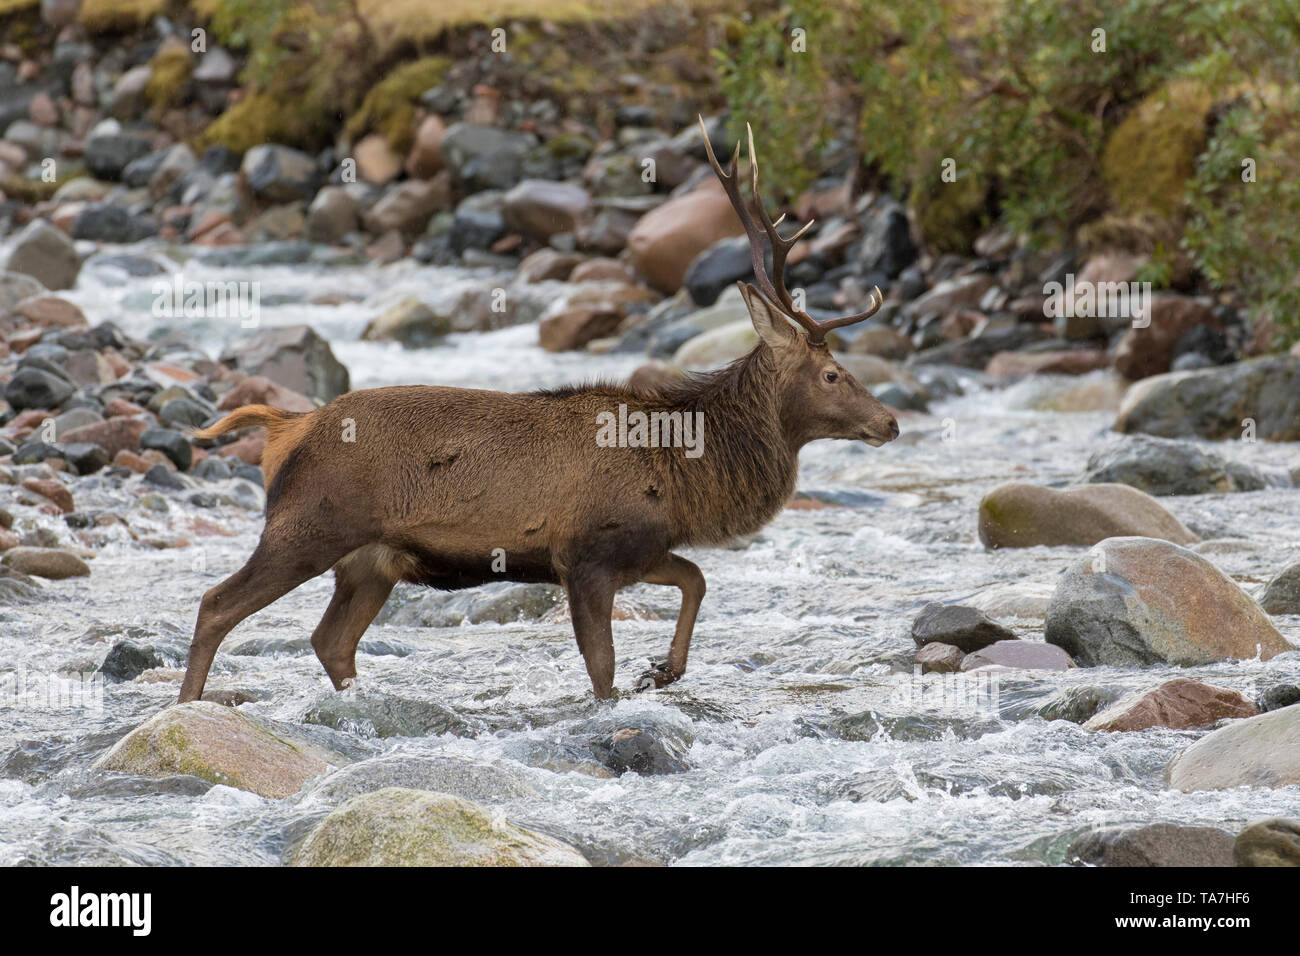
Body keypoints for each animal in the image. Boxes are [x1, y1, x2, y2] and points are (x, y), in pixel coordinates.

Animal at [178, 117, 899, 702]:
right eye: (833, 373)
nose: (891, 421)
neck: (685, 472)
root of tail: (286, 427)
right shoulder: (587, 554)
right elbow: (602, 667)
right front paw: (633, 687)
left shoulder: (640, 547)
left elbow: (695, 579)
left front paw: (665, 671)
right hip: (308, 523)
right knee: (216, 603)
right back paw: (186, 709)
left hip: (371, 561)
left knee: (330, 640)